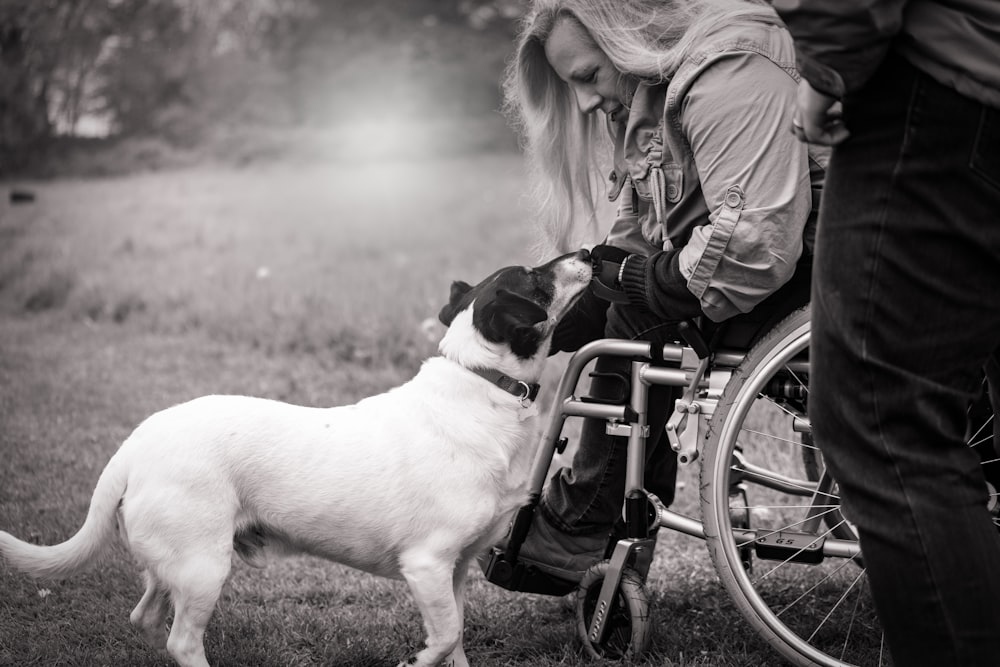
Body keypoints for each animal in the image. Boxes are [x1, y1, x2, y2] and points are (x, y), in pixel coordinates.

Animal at [0, 250, 592, 667]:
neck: (481, 384)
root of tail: (135, 445)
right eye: (534, 275)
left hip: (173, 564)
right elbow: (444, 638)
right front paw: (416, 658)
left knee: (145, 617)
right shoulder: (427, 565)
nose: (589, 250)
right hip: (203, 566)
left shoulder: (460, 569)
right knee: (181, 642)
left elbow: (459, 641)